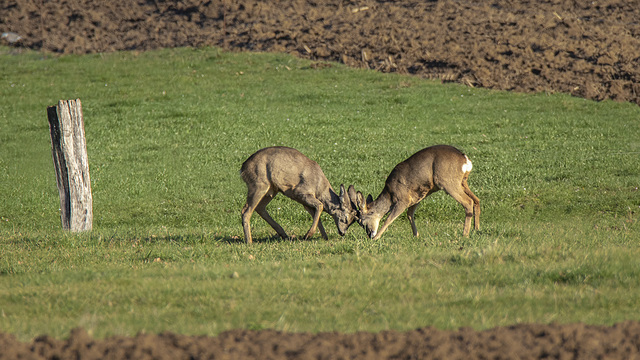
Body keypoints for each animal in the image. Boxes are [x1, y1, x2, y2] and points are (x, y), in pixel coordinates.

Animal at [350, 143, 480, 239]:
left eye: (361, 222)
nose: (370, 235)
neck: (390, 195)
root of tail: (465, 159)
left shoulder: (403, 199)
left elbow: (388, 219)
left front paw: (377, 238)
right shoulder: (417, 196)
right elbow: (409, 214)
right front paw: (416, 235)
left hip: (447, 182)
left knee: (468, 202)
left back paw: (465, 234)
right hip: (462, 182)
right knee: (476, 200)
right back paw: (476, 229)